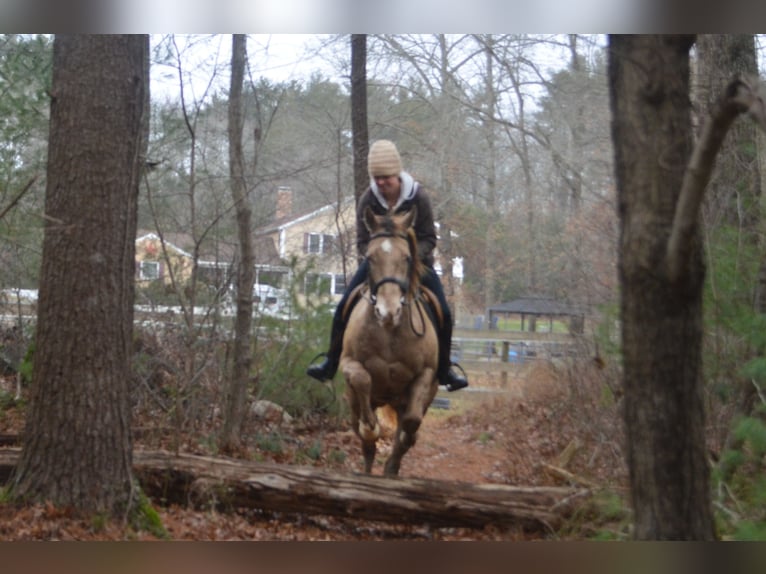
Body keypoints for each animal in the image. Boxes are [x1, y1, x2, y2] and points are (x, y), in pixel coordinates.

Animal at [339, 206, 440, 476]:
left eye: (406, 258)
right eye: (370, 258)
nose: (388, 312)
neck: (389, 333)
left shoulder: (426, 374)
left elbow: (411, 424)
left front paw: (404, 444)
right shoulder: (348, 363)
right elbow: (362, 378)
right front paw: (370, 427)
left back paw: (391, 470)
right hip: (355, 401)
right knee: (365, 442)